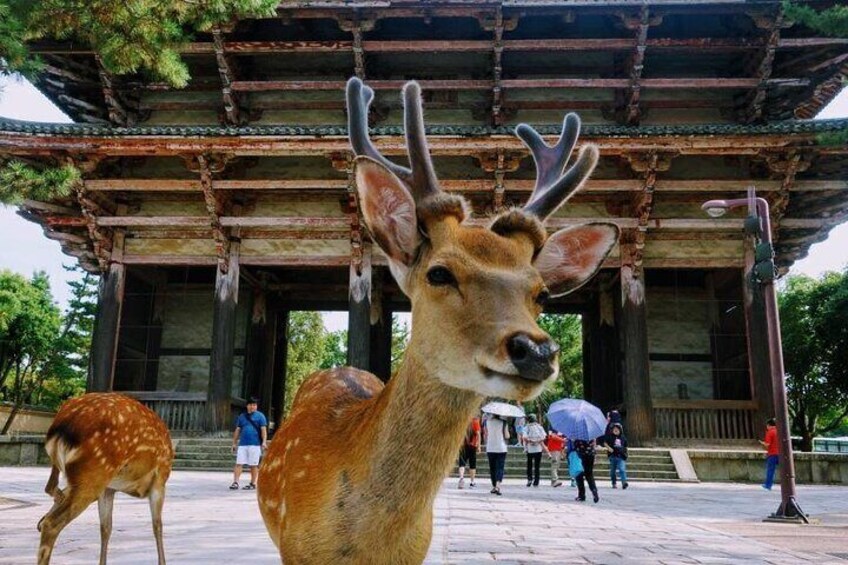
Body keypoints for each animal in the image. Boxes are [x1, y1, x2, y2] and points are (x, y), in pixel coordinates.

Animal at [38, 392, 174, 564]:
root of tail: (61, 426)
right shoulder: (160, 479)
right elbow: (157, 526)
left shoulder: (109, 488)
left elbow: (106, 528)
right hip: (94, 472)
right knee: (51, 522)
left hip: (84, 476)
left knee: (50, 491)